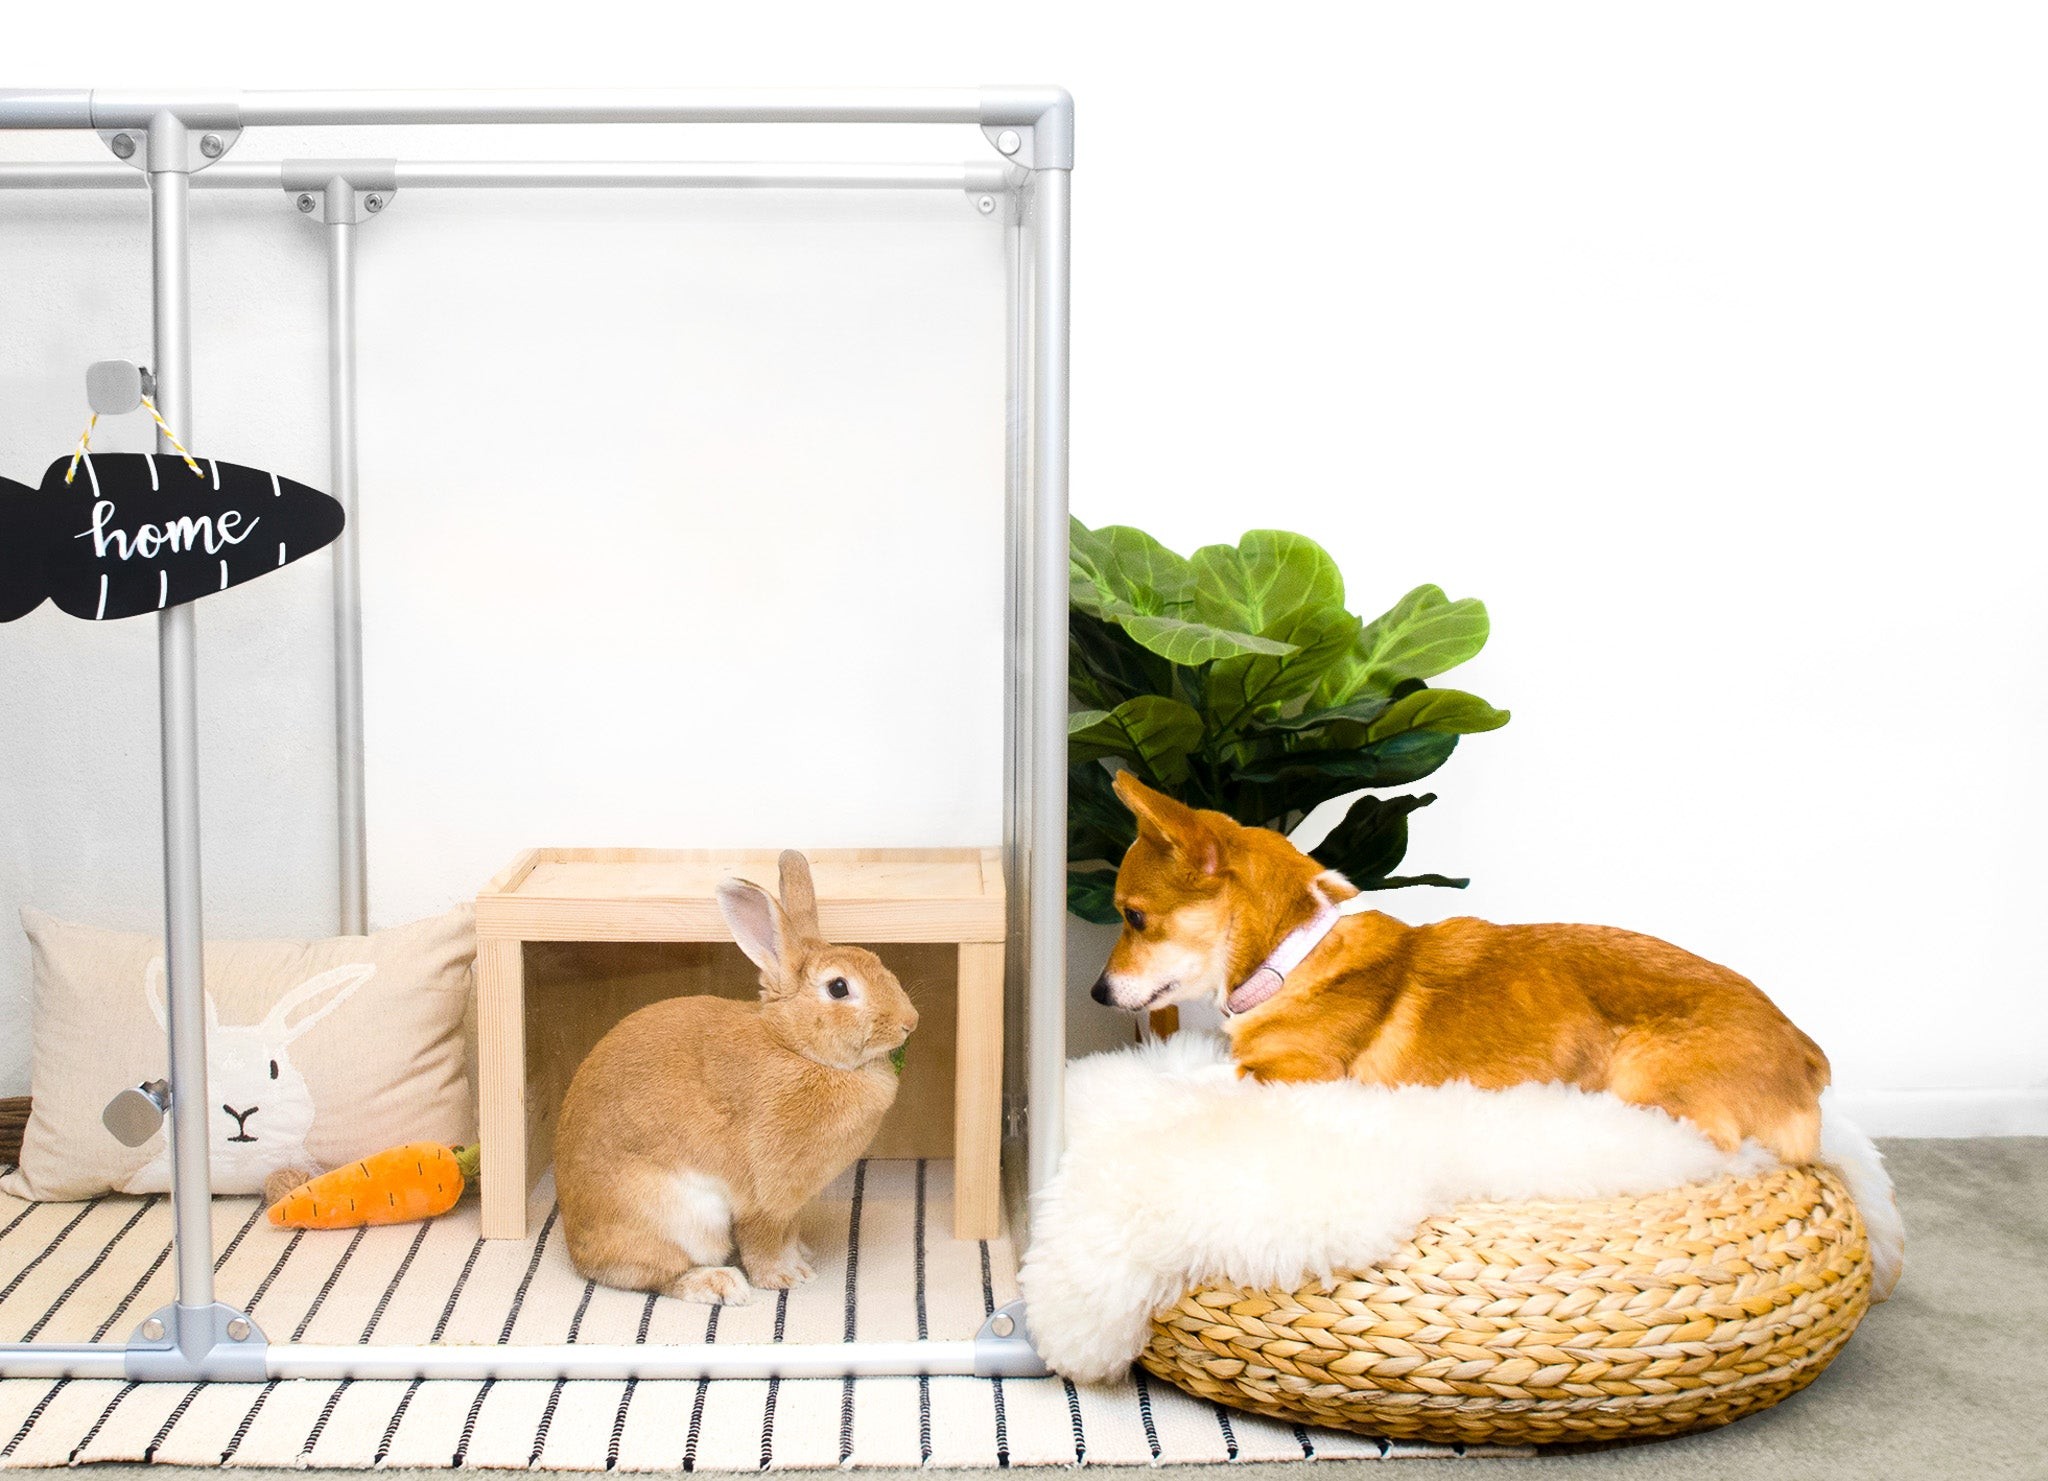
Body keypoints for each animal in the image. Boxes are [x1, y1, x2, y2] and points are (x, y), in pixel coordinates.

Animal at [557, 852, 917, 1302]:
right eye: (838, 987)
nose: (910, 1022)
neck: (794, 1047)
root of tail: (576, 1251)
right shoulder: (767, 1197)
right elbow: (764, 1241)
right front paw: (784, 1278)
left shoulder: (793, 1205)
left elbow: (789, 1234)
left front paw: (801, 1259)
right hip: (680, 1220)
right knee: (653, 1274)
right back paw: (719, 1283)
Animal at [1097, 770, 1835, 1163]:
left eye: (1133, 916)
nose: (1097, 992)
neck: (1291, 954)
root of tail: (1806, 1052)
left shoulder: (1297, 1074)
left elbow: (1193, 1077)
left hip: (1646, 1085)